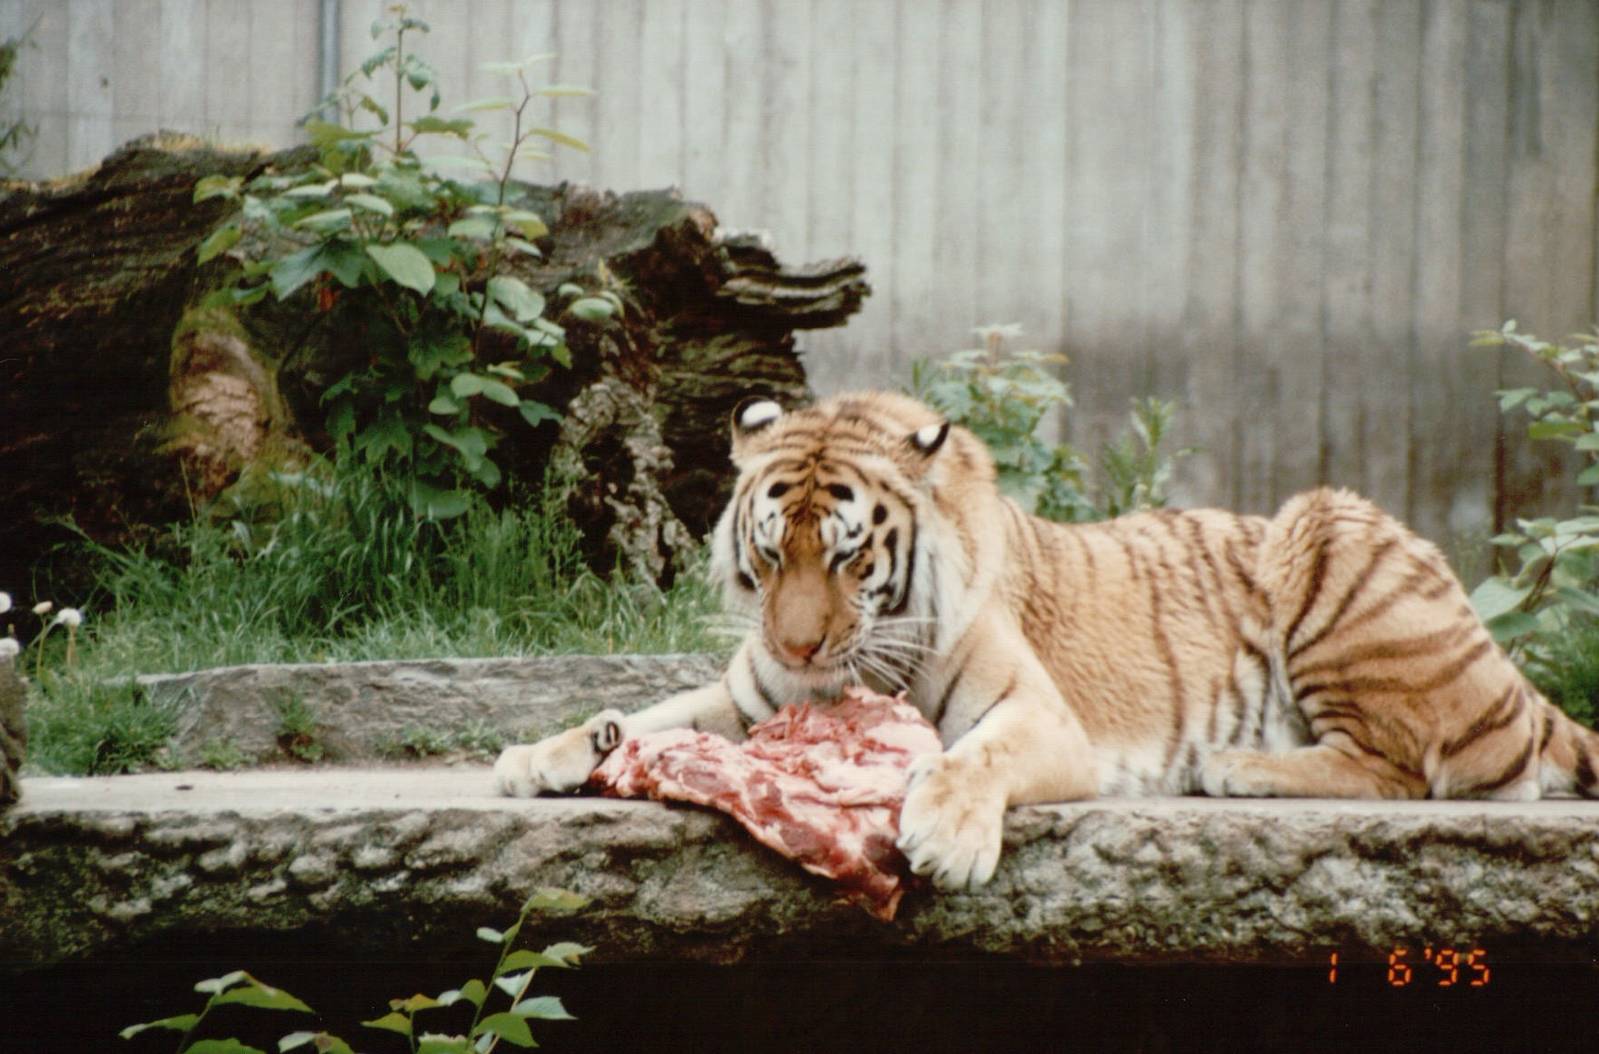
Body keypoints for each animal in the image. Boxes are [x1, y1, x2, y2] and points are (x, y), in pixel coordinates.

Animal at [494, 390, 1599, 891]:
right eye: (771, 552)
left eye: (848, 558)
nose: (802, 650)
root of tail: (1517, 683)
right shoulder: (751, 697)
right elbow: (655, 712)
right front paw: (543, 753)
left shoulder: (1038, 715)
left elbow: (973, 758)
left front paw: (943, 836)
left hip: (1329, 534)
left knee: (1422, 768)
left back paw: (1237, 765)